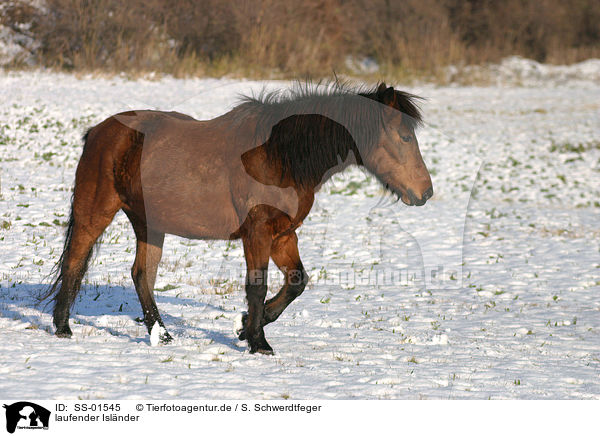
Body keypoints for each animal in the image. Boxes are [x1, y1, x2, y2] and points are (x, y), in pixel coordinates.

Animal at [45, 81, 432, 354]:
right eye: (402, 135)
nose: (425, 192)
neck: (278, 155)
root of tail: (99, 132)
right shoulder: (257, 233)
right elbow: (256, 286)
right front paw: (258, 342)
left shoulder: (283, 234)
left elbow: (297, 281)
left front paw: (245, 326)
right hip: (96, 211)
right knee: (76, 260)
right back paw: (63, 327)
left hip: (149, 224)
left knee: (142, 275)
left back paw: (162, 334)